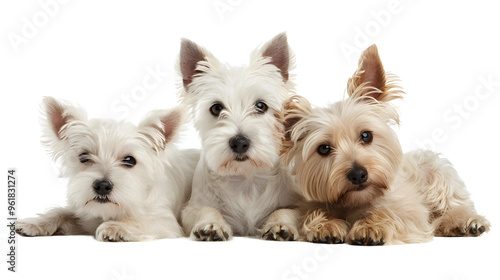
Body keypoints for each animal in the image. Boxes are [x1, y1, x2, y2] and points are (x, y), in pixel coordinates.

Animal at [15, 97, 199, 241]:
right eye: (83, 157)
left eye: (129, 160)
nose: (102, 186)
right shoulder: (84, 214)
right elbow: (61, 211)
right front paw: (35, 222)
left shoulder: (165, 221)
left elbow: (139, 220)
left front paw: (116, 227)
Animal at [179, 33, 296, 241]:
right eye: (216, 108)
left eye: (261, 106)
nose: (240, 143)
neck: (245, 178)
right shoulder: (192, 208)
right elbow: (206, 210)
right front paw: (211, 225)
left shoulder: (298, 204)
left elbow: (285, 211)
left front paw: (279, 225)